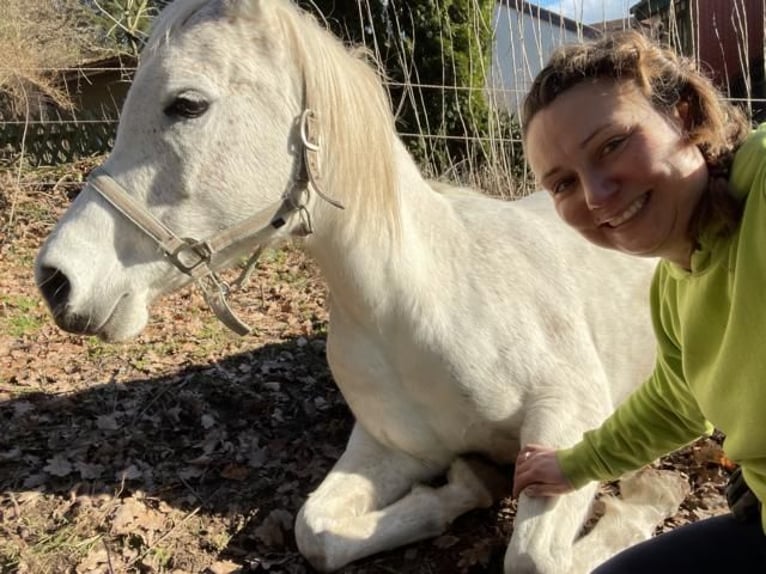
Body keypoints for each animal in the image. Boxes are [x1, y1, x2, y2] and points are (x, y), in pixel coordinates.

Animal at [37, 2, 688, 572]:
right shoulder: (391, 447)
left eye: (187, 104)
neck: (419, 305)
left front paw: (652, 496)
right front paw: (471, 482)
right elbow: (317, 532)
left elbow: (535, 558)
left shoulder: (569, 414)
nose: (55, 280)